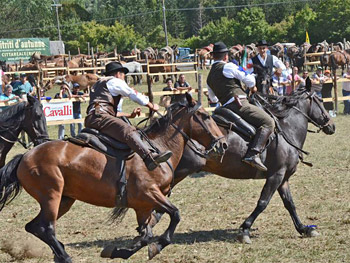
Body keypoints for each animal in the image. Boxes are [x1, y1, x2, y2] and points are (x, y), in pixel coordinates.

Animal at [0, 95, 227, 263]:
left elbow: (145, 235)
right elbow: (175, 216)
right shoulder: (150, 194)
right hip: (52, 196)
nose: (223, 144)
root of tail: (24, 157)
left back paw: (59, 253)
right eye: (205, 116)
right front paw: (157, 246)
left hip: (64, 200)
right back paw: (65, 256)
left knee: (35, 227)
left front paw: (117, 251)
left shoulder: (143, 206)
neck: (158, 148)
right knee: (46, 228)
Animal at [151, 84, 336, 245]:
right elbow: (263, 202)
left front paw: (304, 228)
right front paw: (245, 230)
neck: (286, 129)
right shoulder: (276, 175)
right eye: (320, 100)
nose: (332, 126)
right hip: (179, 172)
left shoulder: (283, 178)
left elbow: (290, 204)